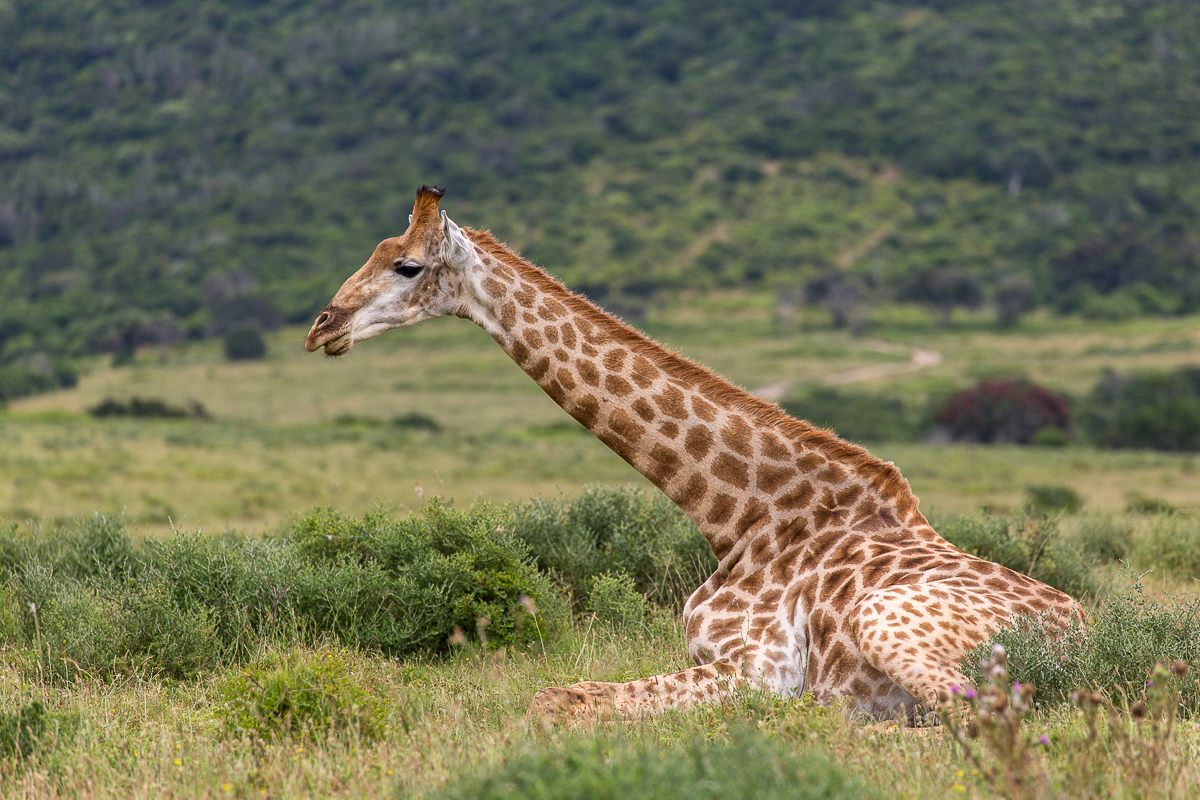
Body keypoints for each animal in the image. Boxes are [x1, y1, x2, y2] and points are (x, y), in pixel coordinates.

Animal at [304, 189, 1084, 724]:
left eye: (407, 266)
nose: (321, 326)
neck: (739, 520)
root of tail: (1093, 641)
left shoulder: (760, 672)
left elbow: (557, 701)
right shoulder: (707, 658)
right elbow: (556, 694)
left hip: (889, 625)